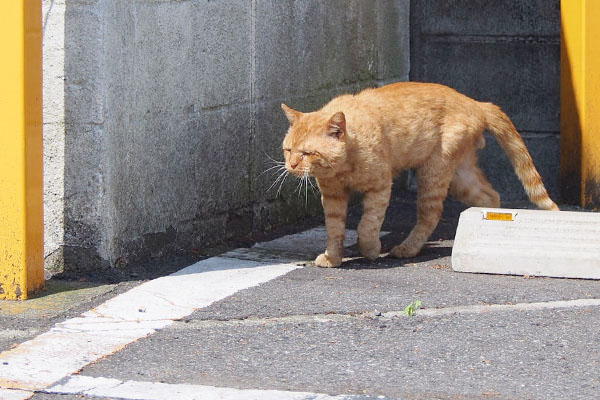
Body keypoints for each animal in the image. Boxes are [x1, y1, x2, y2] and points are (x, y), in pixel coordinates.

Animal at [280, 81, 556, 268]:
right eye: (288, 149)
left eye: (307, 153)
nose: (291, 165)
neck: (344, 165)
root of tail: (475, 102)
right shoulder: (333, 196)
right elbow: (334, 228)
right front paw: (333, 257)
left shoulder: (380, 187)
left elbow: (367, 224)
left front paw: (369, 249)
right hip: (461, 176)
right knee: (490, 197)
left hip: (434, 171)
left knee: (431, 214)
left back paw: (407, 248)